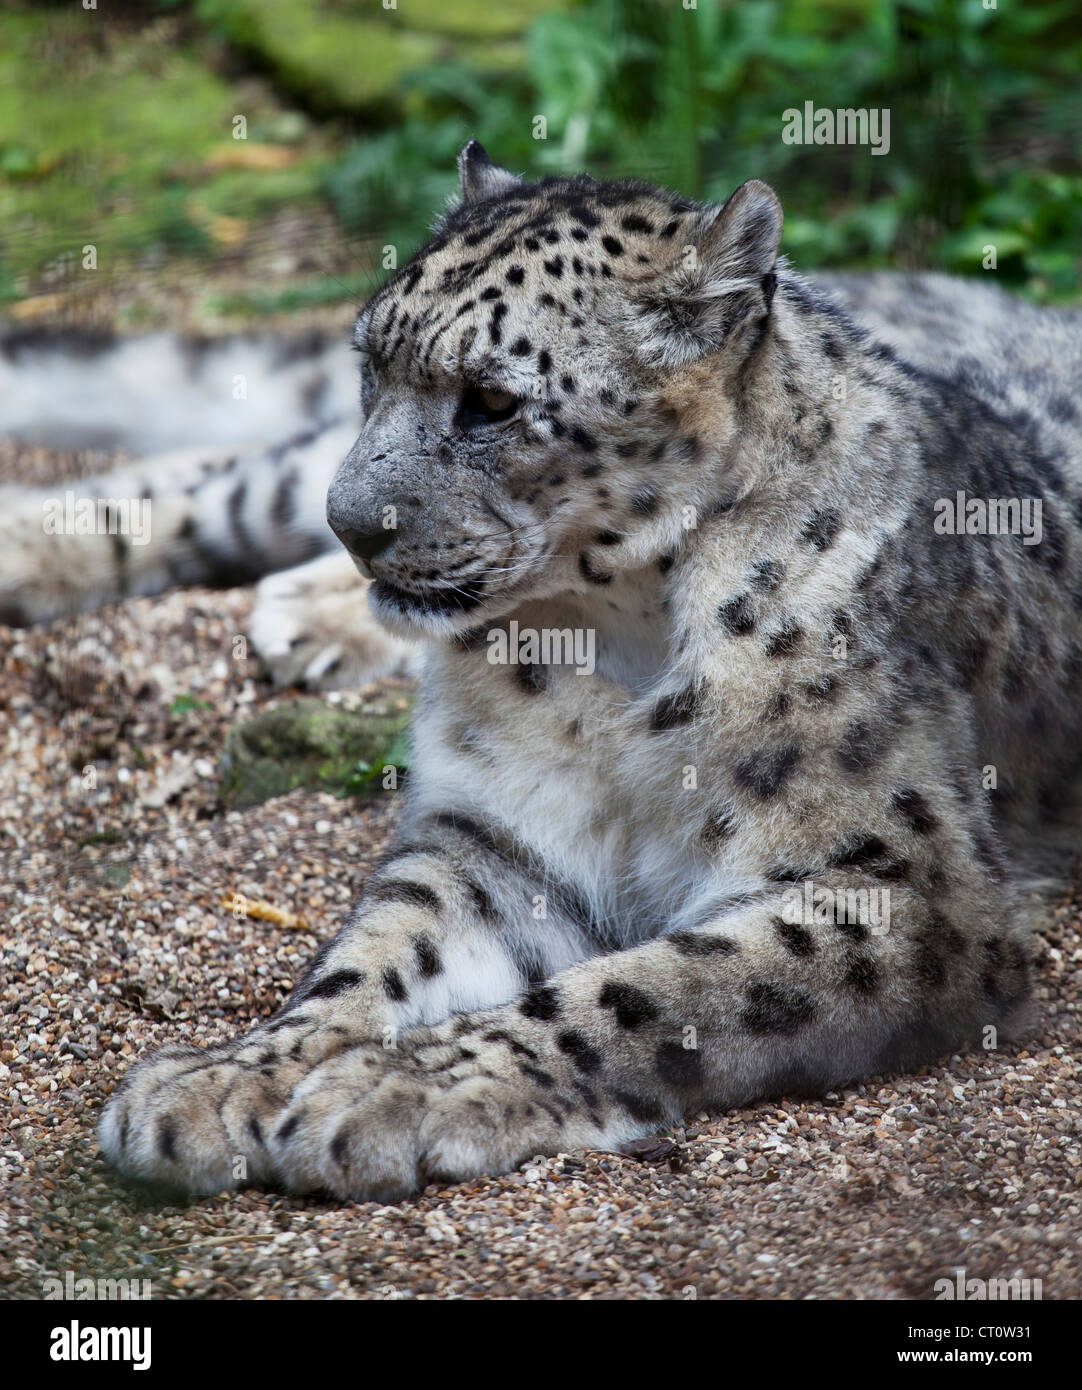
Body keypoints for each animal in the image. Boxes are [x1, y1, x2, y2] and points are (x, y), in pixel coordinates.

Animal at [4, 141, 1082, 1200]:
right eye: (369, 365)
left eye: (491, 400)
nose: (353, 524)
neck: (612, 644)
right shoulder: (493, 839)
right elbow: (373, 954)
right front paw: (224, 1074)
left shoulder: (901, 881)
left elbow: (652, 990)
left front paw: (398, 1086)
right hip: (288, 482)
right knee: (228, 476)